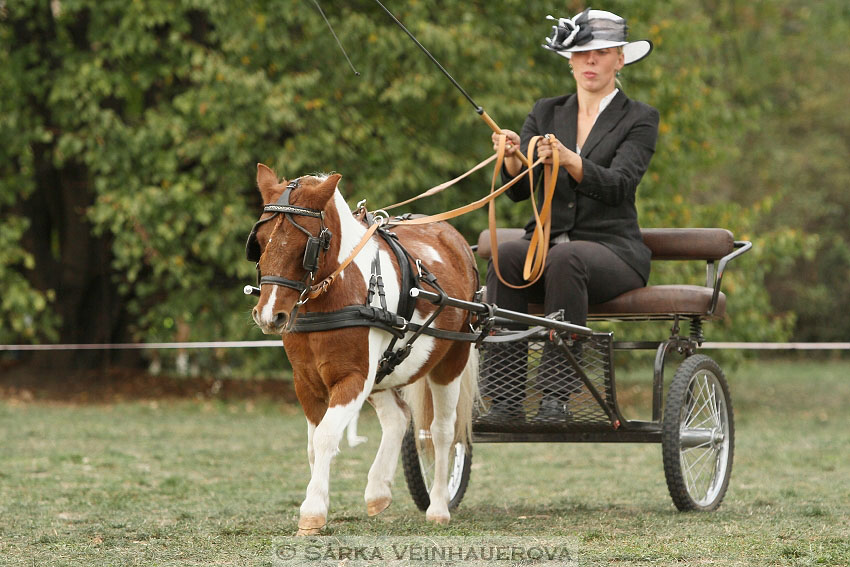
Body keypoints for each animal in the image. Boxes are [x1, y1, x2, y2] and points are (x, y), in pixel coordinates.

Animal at [248, 165, 480, 536]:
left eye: (306, 245)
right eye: (259, 241)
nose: (271, 315)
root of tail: (454, 238)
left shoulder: (353, 378)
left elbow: (327, 436)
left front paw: (312, 512)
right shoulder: (307, 383)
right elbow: (313, 445)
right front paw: (320, 502)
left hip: (450, 362)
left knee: (443, 431)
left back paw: (439, 506)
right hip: (381, 373)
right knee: (398, 417)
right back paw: (378, 490)